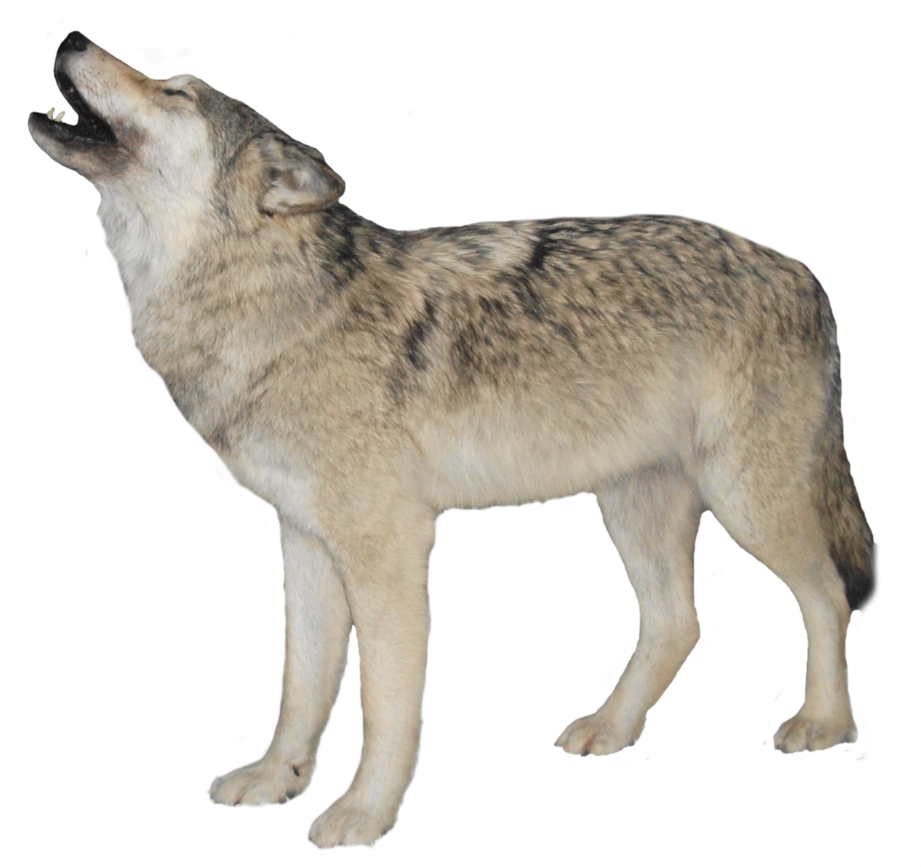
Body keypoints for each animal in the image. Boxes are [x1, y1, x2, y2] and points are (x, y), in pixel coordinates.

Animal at [29, 31, 880, 850]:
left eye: (175, 90)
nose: (68, 33)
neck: (271, 308)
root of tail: (802, 272)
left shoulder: (389, 548)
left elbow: (383, 704)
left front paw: (361, 815)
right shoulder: (303, 539)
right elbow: (301, 684)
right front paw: (277, 780)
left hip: (747, 503)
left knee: (828, 597)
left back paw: (824, 724)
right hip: (633, 508)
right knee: (679, 621)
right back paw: (610, 728)